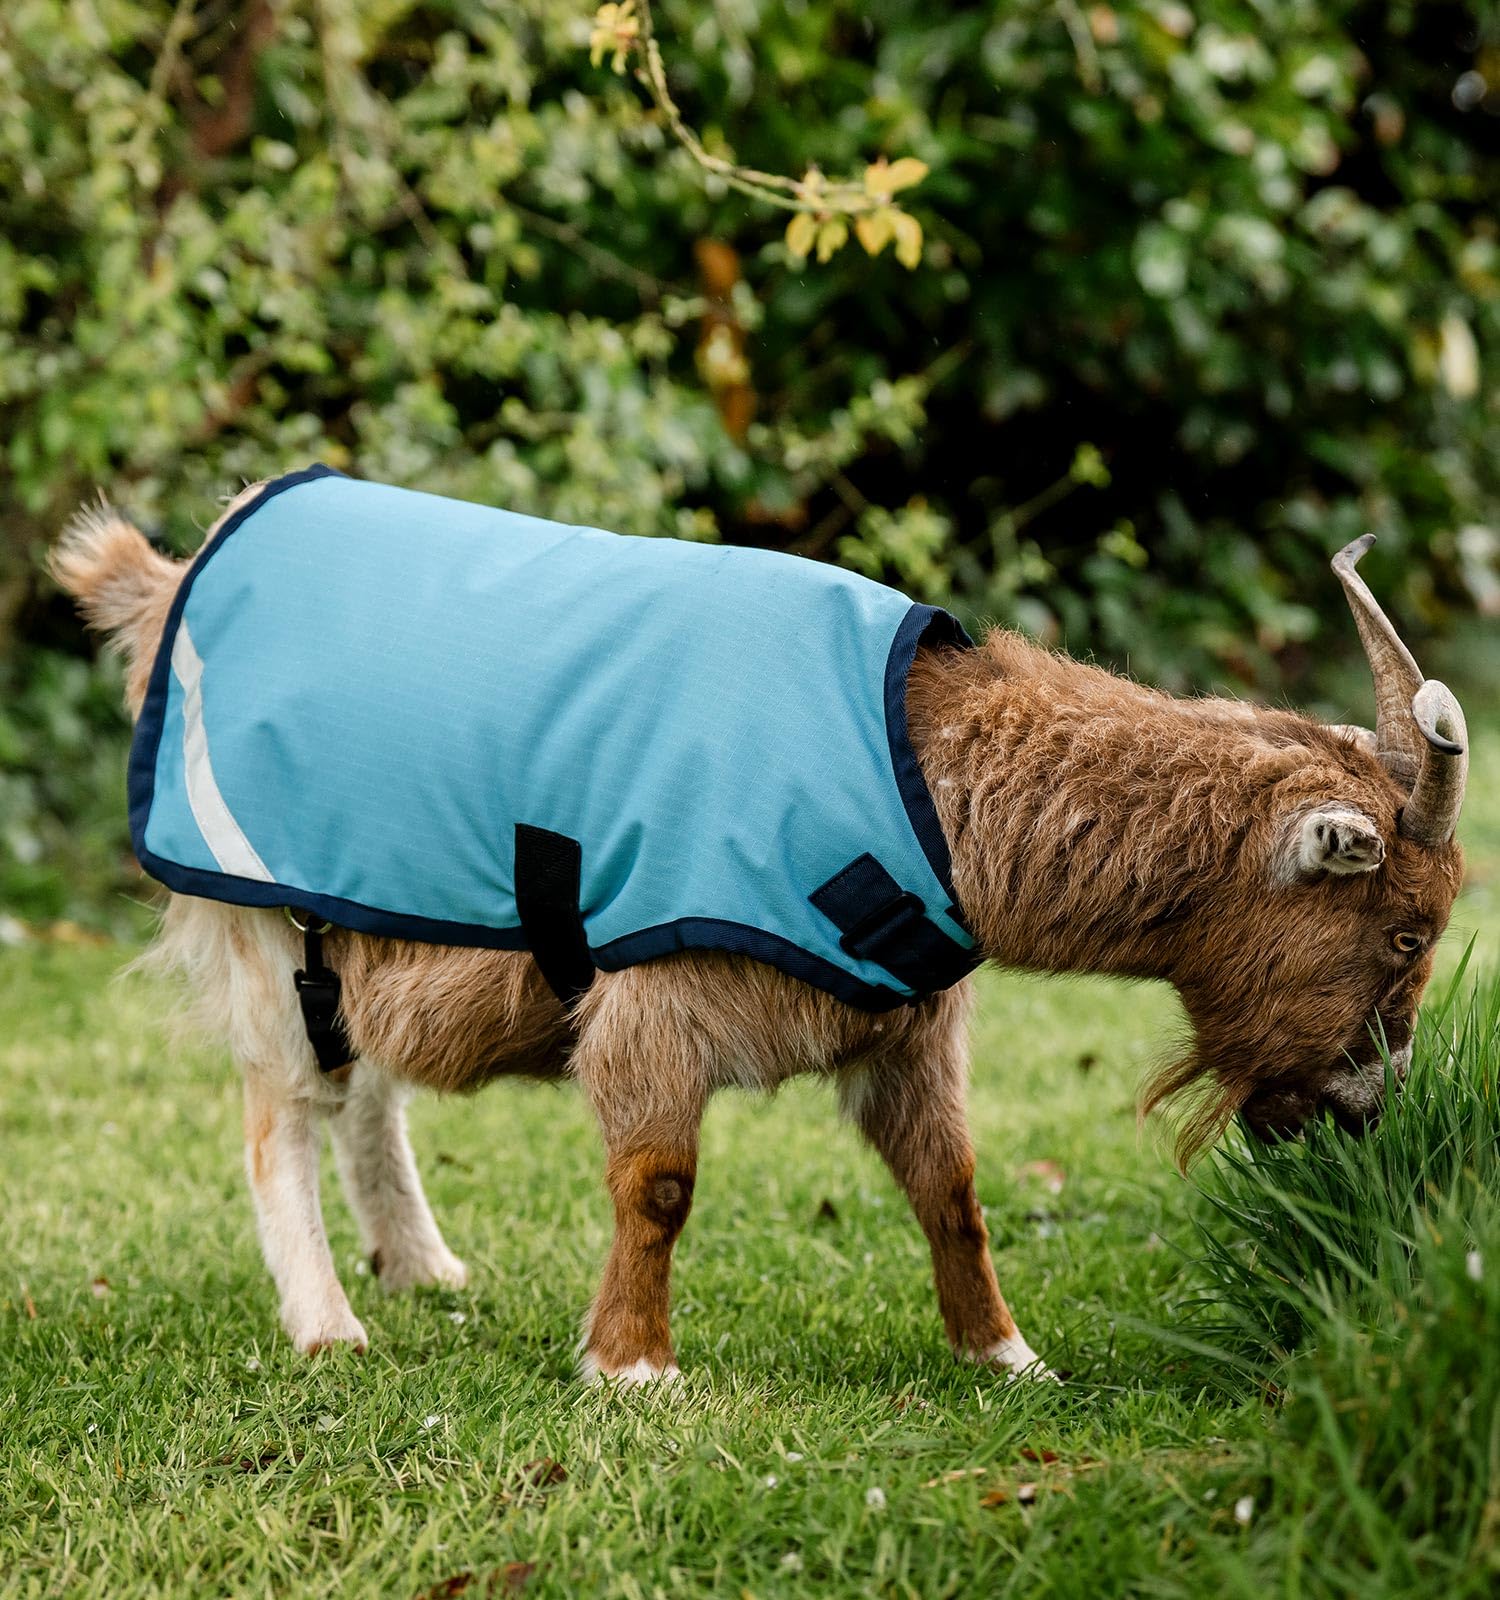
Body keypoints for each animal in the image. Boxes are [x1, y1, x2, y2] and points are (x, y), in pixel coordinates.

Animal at [53, 480, 1467, 1380]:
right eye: (1406, 935)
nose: (1371, 1109)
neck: (916, 771)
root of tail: (175, 579)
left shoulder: (907, 1022)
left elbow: (953, 1189)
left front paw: (1007, 1356)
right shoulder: (655, 998)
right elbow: (660, 1183)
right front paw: (633, 1367)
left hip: (379, 923)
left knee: (367, 1091)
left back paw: (421, 1266)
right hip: (263, 919)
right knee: (278, 1110)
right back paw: (328, 1324)